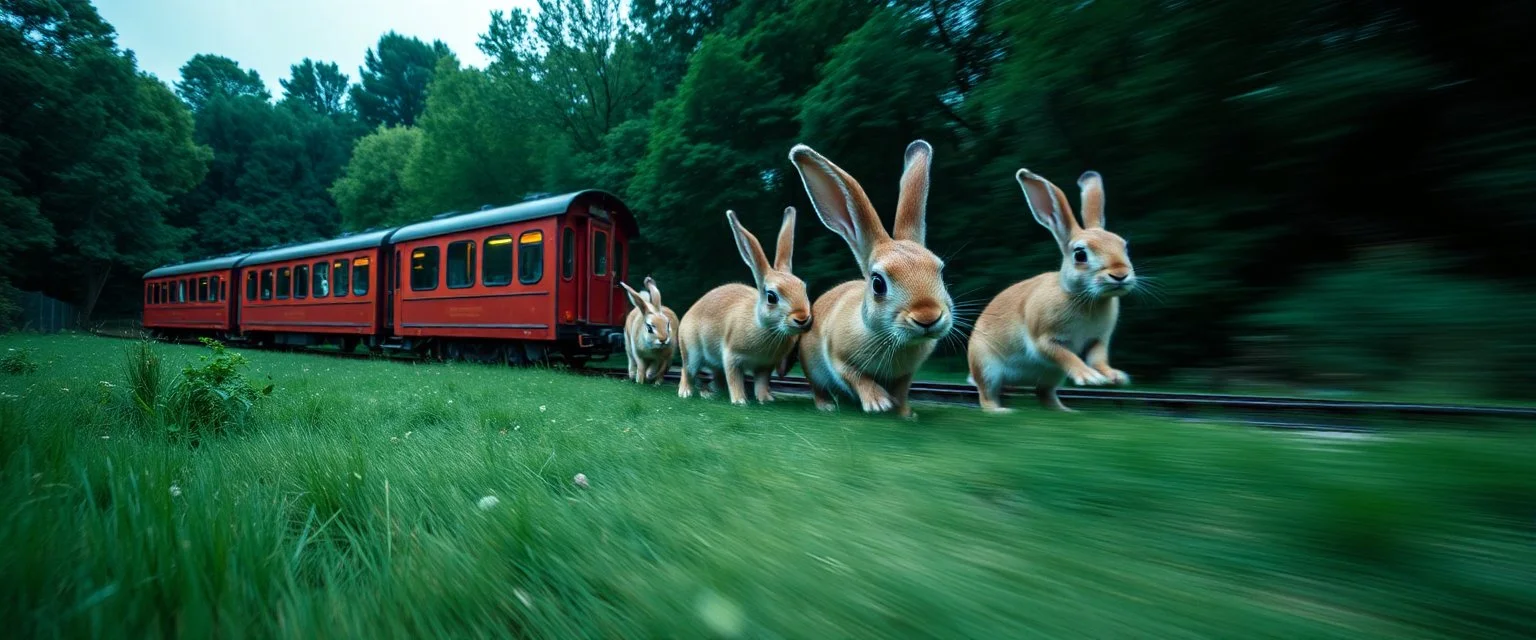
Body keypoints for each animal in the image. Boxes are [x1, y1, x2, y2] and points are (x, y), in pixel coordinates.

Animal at [677, 207, 813, 405]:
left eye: (804, 288)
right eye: (771, 297)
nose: (802, 318)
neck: (765, 327)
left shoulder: (765, 365)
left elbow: (762, 382)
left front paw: (765, 399)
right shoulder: (731, 356)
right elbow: (734, 378)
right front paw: (740, 401)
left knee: (716, 376)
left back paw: (711, 393)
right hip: (691, 351)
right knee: (687, 371)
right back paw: (686, 392)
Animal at [787, 140, 954, 417]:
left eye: (940, 271)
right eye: (878, 283)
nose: (928, 317)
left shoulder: (906, 375)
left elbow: (903, 391)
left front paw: (906, 414)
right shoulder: (838, 358)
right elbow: (857, 377)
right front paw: (879, 404)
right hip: (812, 367)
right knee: (818, 388)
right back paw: (827, 407)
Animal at [966, 169, 1135, 413]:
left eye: (1125, 246)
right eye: (1080, 254)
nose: (1120, 274)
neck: (1083, 297)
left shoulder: (1098, 340)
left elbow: (1098, 358)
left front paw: (1114, 377)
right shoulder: (1042, 339)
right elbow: (1064, 354)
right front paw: (1090, 378)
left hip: (1051, 375)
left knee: (1044, 394)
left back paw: (1067, 411)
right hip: (987, 366)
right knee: (987, 395)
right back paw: (1002, 412)